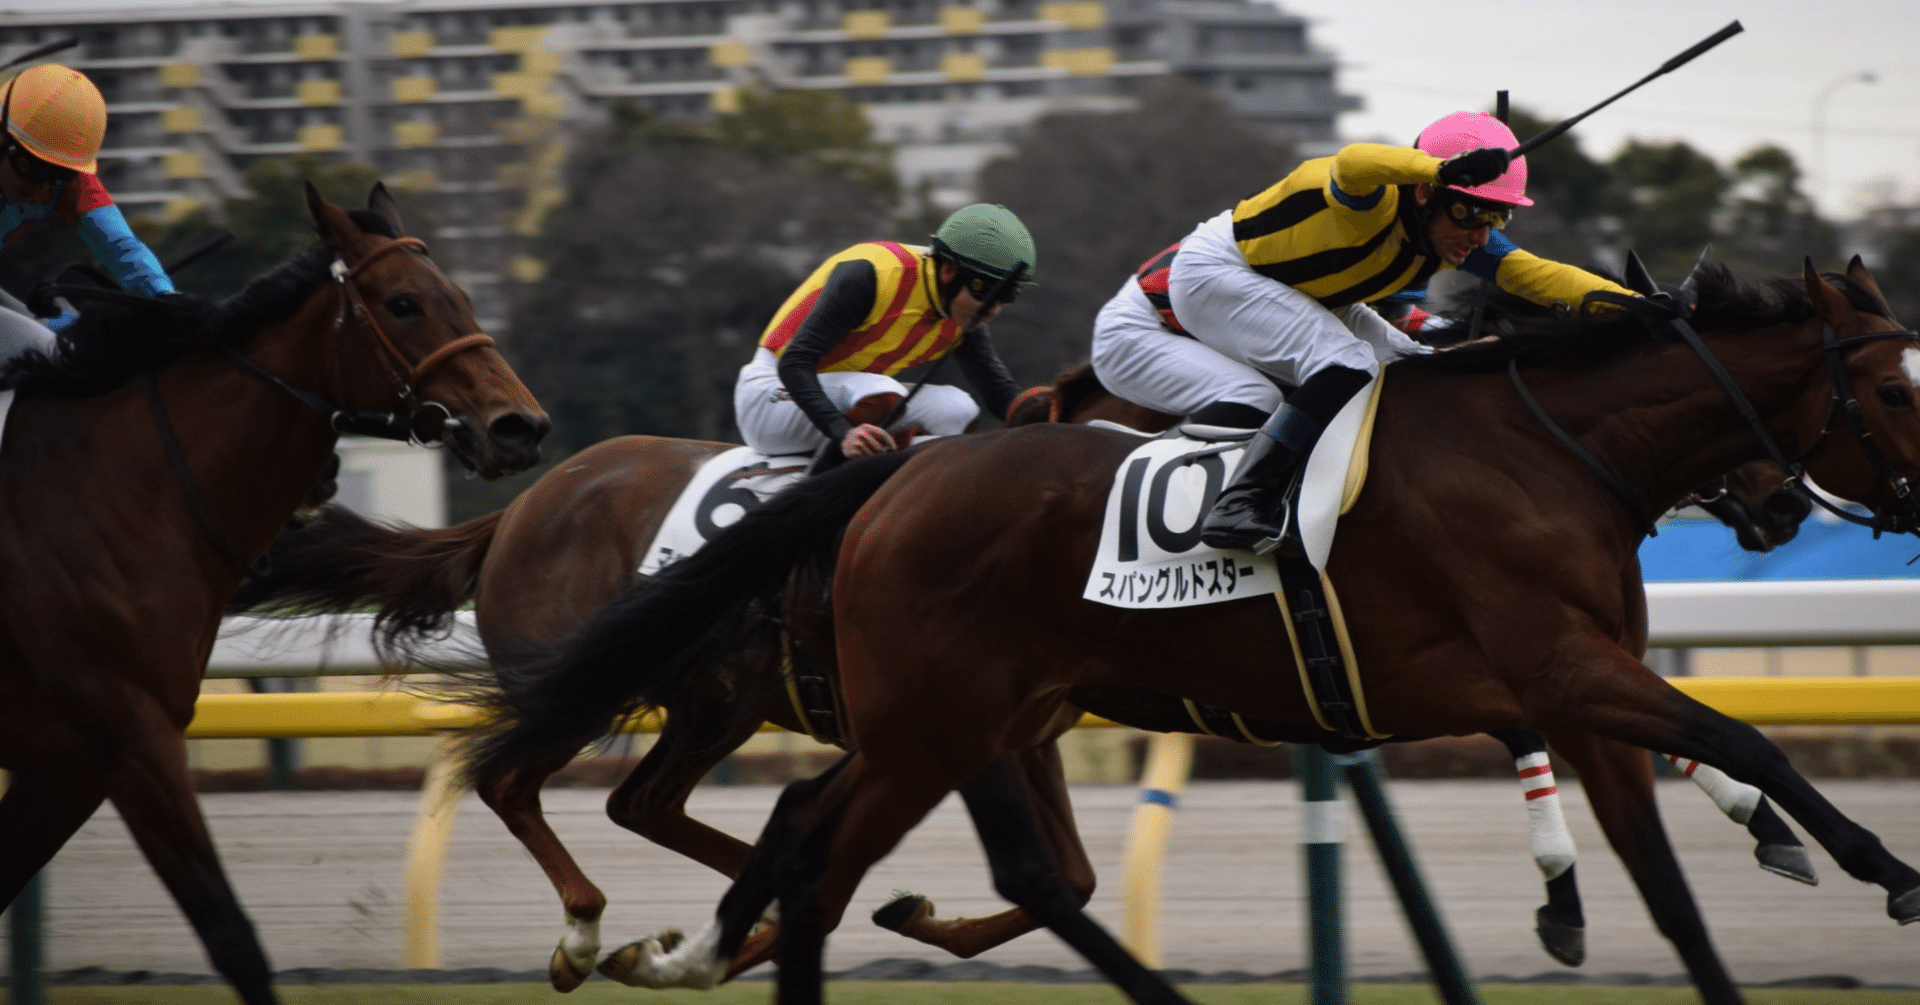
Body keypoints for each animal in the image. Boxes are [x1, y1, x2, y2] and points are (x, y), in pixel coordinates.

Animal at [0, 184, 549, 1005]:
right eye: (403, 303)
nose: (521, 426)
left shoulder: (69, 752)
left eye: (463, 296)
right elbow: (234, 937)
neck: (122, 490)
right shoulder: (128, 730)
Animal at [233, 350, 1816, 987]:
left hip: (720, 700)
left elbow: (1055, 871)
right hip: (663, 683)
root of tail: (520, 505)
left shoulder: (1024, 717)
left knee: (650, 803)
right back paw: (603, 929)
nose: (1778, 502)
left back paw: (723, 919)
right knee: (527, 780)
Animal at [463, 259, 1920, 1005]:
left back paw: (703, 939)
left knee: (824, 836)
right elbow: (1748, 740)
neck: (1542, 449)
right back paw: (642, 936)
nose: (1781, 509)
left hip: (957, 719)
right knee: (798, 847)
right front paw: (1881, 868)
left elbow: (1675, 874)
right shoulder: (1550, 664)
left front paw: (1741, 858)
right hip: (928, 718)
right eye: (1902, 385)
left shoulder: (1570, 683)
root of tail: (896, 479)